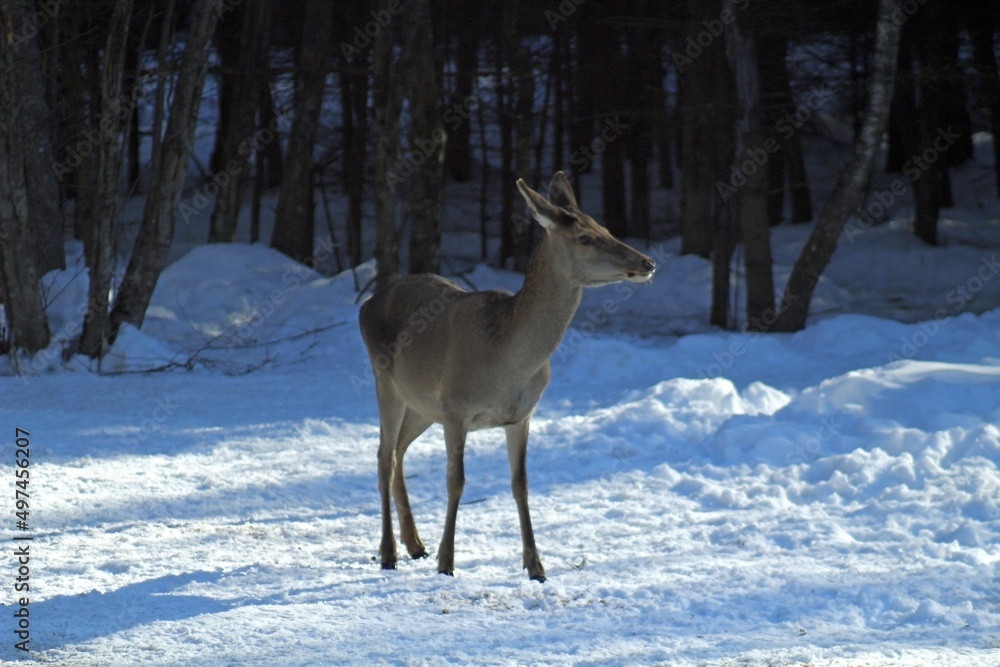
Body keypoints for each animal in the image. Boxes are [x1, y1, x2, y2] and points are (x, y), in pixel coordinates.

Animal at [358, 172, 655, 582]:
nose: (647, 261)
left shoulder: (521, 415)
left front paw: (536, 566)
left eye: (606, 228)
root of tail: (367, 304)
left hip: (422, 403)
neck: (506, 363)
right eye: (584, 238)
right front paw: (447, 562)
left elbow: (521, 485)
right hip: (384, 379)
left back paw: (414, 544)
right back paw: (389, 553)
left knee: (400, 449)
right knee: (383, 455)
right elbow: (456, 481)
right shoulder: (456, 409)